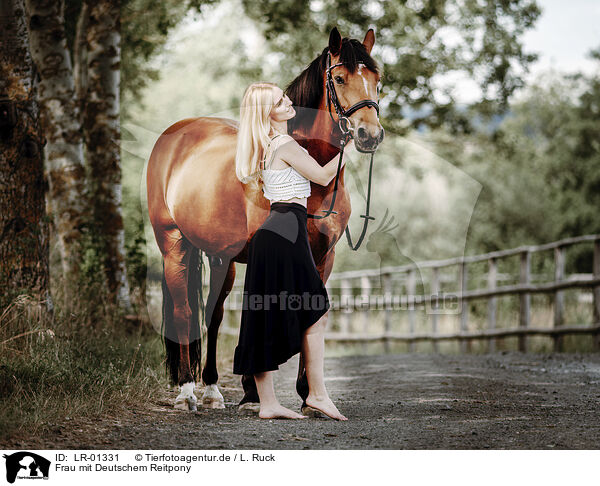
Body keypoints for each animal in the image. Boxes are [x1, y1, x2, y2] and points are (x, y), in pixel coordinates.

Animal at [146, 26, 384, 412]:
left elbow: (311, 310)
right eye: (339, 78)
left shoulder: (324, 257)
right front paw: (254, 389)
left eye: (378, 79)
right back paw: (186, 391)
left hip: (221, 257)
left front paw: (306, 395)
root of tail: (175, 135)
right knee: (183, 311)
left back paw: (212, 389)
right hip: (173, 244)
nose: (369, 135)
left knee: (212, 314)